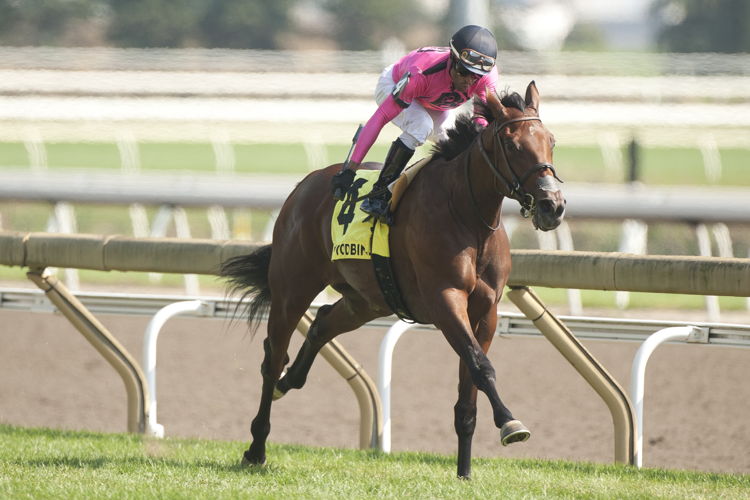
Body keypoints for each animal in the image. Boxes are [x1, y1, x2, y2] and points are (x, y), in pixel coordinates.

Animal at [226, 83, 568, 480]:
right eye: (512, 145)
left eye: (551, 141)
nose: (552, 206)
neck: (467, 215)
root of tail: (304, 185)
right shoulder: (445, 299)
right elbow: (481, 365)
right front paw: (510, 423)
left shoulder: (487, 310)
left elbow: (469, 389)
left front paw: (465, 471)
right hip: (291, 289)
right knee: (273, 357)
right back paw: (256, 447)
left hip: (367, 300)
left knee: (322, 323)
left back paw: (288, 383)